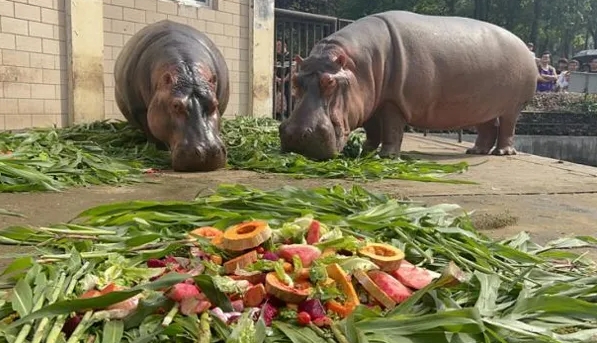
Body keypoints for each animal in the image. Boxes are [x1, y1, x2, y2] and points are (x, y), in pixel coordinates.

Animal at [114, 18, 230, 172]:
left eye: (214, 104)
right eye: (175, 105)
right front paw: (160, 150)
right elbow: (151, 132)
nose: (207, 152)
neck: (187, 73)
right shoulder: (141, 111)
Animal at [278, 10, 536, 161]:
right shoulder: (370, 101)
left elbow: (392, 130)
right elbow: (373, 129)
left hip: (512, 106)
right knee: (488, 126)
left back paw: (502, 153)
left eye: (329, 82)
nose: (295, 134)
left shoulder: (392, 102)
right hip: (483, 106)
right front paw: (366, 150)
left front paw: (386, 156)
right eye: (295, 80)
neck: (355, 66)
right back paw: (475, 151)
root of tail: (525, 46)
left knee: (507, 127)